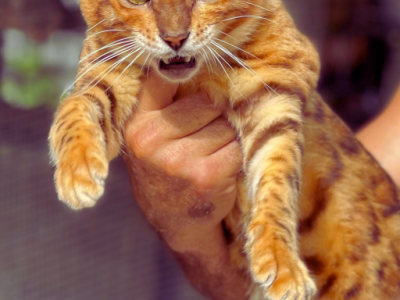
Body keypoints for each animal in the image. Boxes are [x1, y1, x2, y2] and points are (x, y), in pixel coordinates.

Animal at [48, 0, 400, 298]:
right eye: (136, 0)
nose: (175, 40)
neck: (193, 75)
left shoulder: (275, 97)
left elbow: (279, 181)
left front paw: (282, 264)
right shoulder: (105, 71)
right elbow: (73, 108)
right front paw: (76, 174)